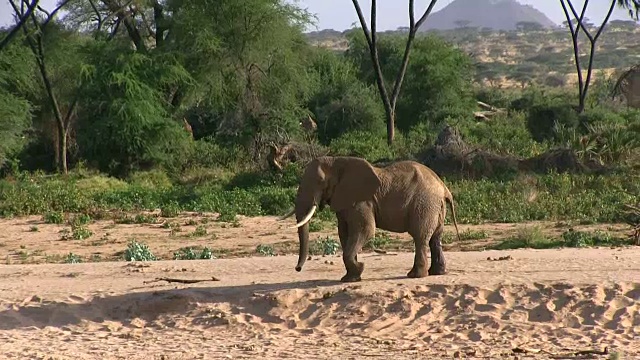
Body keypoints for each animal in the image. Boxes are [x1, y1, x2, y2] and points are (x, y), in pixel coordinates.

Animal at [278, 156, 460, 282]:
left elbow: (364, 230)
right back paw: (437, 272)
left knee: (420, 237)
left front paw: (358, 270)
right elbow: (344, 233)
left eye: (320, 181)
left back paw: (415, 275)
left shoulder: (361, 201)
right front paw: (350, 278)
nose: (297, 269)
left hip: (424, 204)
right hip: (435, 207)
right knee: (435, 237)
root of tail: (444, 188)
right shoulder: (344, 201)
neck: (336, 160)